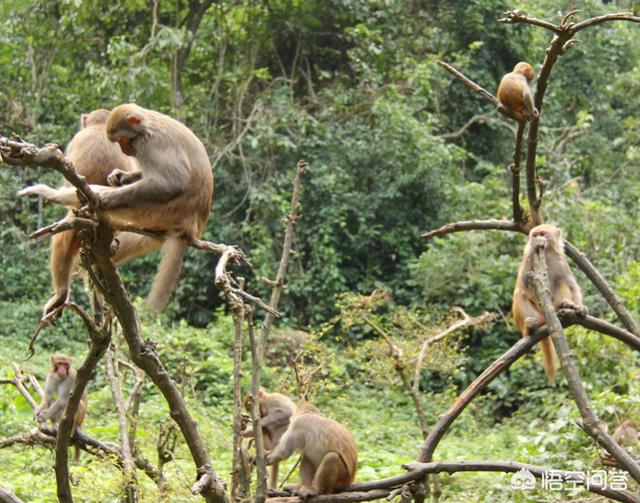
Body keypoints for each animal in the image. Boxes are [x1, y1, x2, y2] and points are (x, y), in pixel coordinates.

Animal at [512, 222, 588, 380]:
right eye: (534, 235)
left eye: (542, 233)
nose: (537, 239)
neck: (546, 254)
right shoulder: (528, 259)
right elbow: (523, 282)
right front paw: (534, 246)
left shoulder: (561, 262)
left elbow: (572, 286)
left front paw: (580, 307)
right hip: (532, 314)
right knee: (519, 293)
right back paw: (529, 328)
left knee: (561, 282)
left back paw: (565, 305)